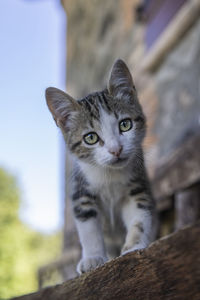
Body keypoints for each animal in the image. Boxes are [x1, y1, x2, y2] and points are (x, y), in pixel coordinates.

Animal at [45, 58, 158, 274]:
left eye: (125, 124)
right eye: (91, 138)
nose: (116, 150)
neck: (110, 175)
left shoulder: (137, 185)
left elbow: (139, 218)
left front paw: (133, 247)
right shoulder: (81, 191)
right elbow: (88, 229)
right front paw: (93, 258)